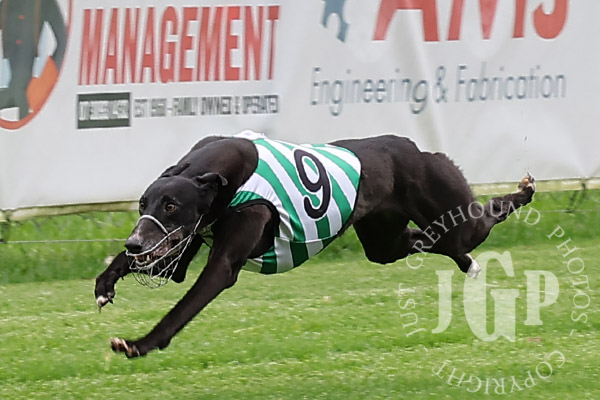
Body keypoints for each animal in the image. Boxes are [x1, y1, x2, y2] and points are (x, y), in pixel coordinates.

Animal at [95, 131, 535, 358]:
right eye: (144, 204)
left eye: (171, 205)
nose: (134, 242)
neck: (220, 177)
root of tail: (414, 146)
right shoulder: (179, 245)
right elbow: (156, 269)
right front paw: (106, 283)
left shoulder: (223, 262)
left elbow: (184, 305)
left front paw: (139, 344)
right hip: (386, 241)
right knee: (425, 241)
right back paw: (466, 261)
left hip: (452, 211)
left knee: (481, 218)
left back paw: (522, 191)